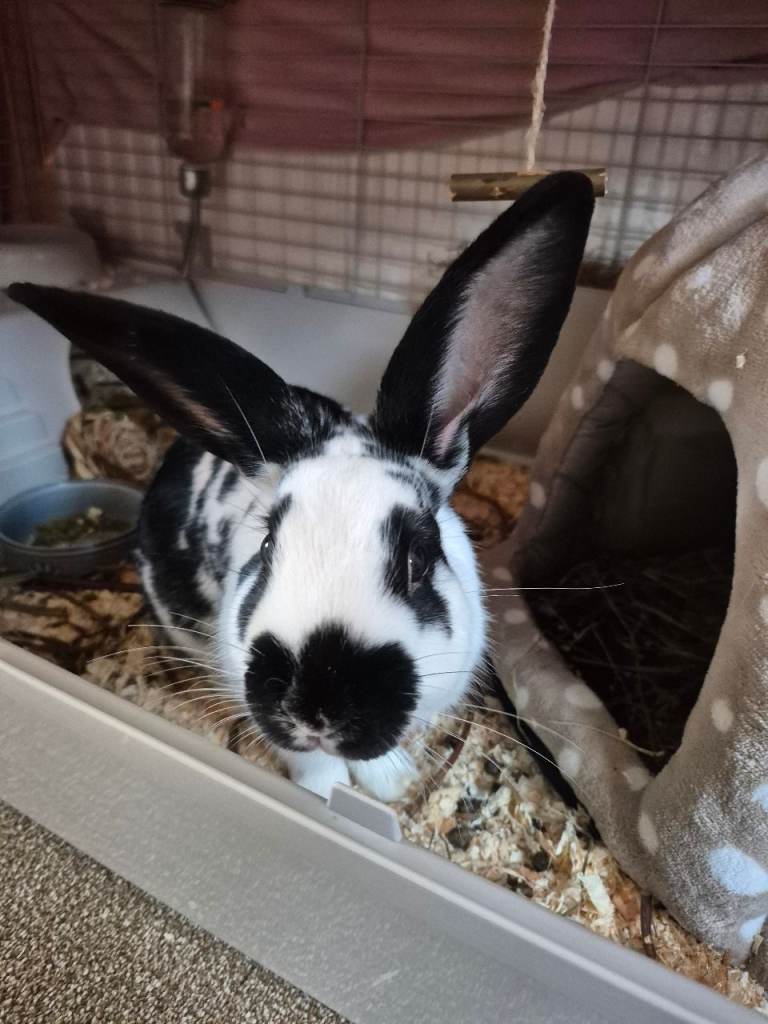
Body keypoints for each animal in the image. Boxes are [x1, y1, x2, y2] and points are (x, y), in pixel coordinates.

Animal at [7, 172, 594, 802]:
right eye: (268, 548)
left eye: (418, 558)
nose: (315, 705)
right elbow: (311, 766)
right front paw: (324, 794)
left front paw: (390, 785)